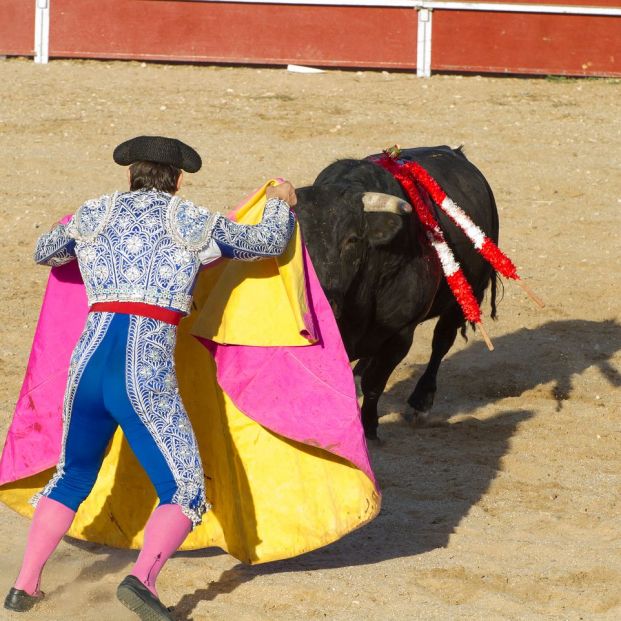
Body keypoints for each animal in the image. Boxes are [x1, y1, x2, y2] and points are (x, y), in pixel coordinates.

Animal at [296, 144, 498, 440]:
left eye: (352, 239)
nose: (325, 303)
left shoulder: (400, 335)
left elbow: (375, 383)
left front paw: (369, 428)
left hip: (464, 297)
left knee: (441, 342)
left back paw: (421, 402)